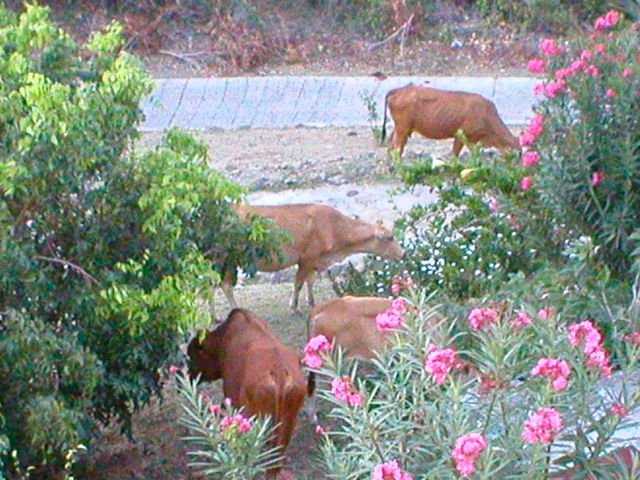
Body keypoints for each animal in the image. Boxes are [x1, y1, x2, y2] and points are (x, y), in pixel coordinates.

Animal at [218, 203, 405, 314]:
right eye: (390, 237)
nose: (403, 253)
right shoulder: (306, 259)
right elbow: (298, 284)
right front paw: (294, 307)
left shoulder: (316, 260)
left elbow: (310, 281)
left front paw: (312, 302)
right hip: (226, 258)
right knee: (225, 286)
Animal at [381, 84, 519, 158]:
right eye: (518, 153)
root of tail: (400, 90)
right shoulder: (461, 135)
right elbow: (455, 155)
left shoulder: (472, 139)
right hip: (403, 128)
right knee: (398, 149)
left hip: (400, 128)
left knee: (390, 143)